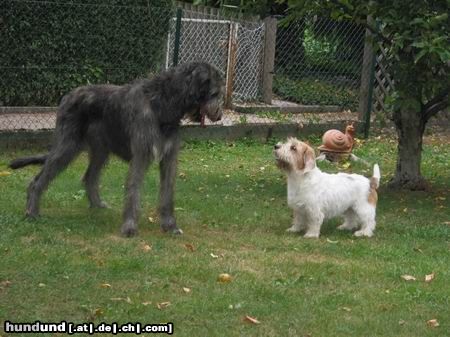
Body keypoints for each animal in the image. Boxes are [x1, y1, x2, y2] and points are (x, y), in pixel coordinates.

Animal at [11, 62, 225, 236]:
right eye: (215, 93)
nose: (220, 115)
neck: (162, 103)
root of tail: (67, 96)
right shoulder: (140, 155)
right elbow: (133, 190)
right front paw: (129, 227)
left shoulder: (169, 158)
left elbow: (167, 193)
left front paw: (170, 226)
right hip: (66, 146)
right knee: (38, 180)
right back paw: (31, 212)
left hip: (100, 150)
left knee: (89, 176)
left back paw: (96, 205)